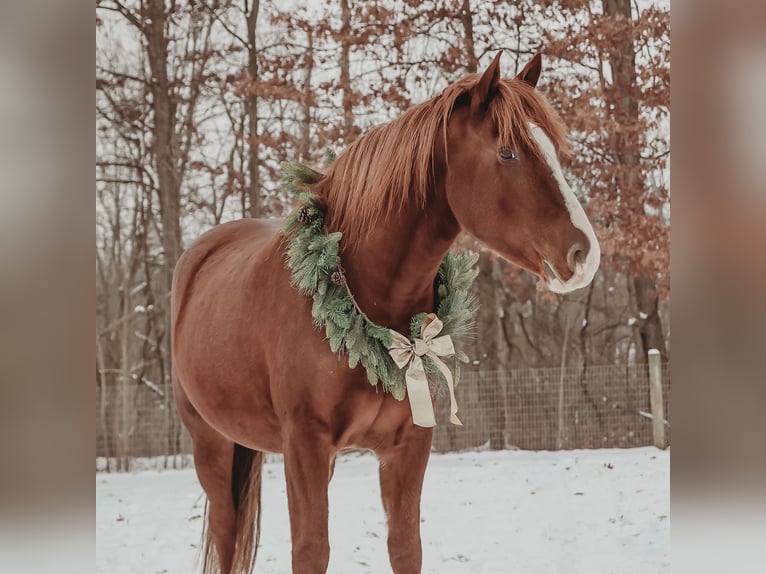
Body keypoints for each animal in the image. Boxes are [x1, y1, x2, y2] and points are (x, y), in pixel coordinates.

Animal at [171, 51, 600, 574]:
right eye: (507, 154)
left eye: (554, 150)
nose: (585, 254)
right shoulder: (305, 444)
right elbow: (311, 550)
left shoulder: (406, 446)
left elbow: (404, 546)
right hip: (211, 445)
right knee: (227, 533)